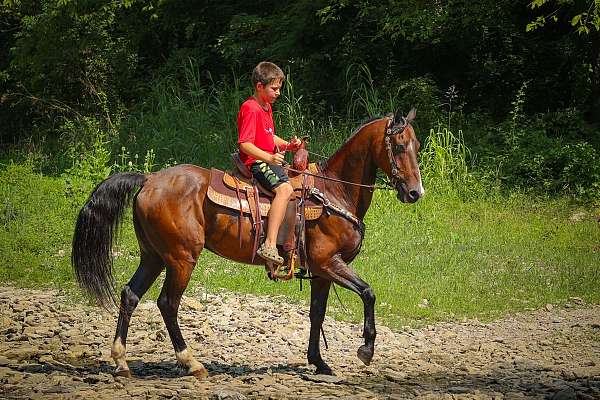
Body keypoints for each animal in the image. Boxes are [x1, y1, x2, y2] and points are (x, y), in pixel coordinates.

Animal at [71, 108, 422, 380]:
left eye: (416, 145)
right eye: (399, 146)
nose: (415, 192)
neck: (334, 192)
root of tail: (149, 179)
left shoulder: (321, 272)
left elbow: (317, 313)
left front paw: (319, 362)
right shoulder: (329, 263)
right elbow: (368, 292)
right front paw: (366, 349)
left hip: (153, 256)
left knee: (130, 295)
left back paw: (121, 362)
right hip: (181, 258)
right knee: (168, 304)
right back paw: (191, 363)